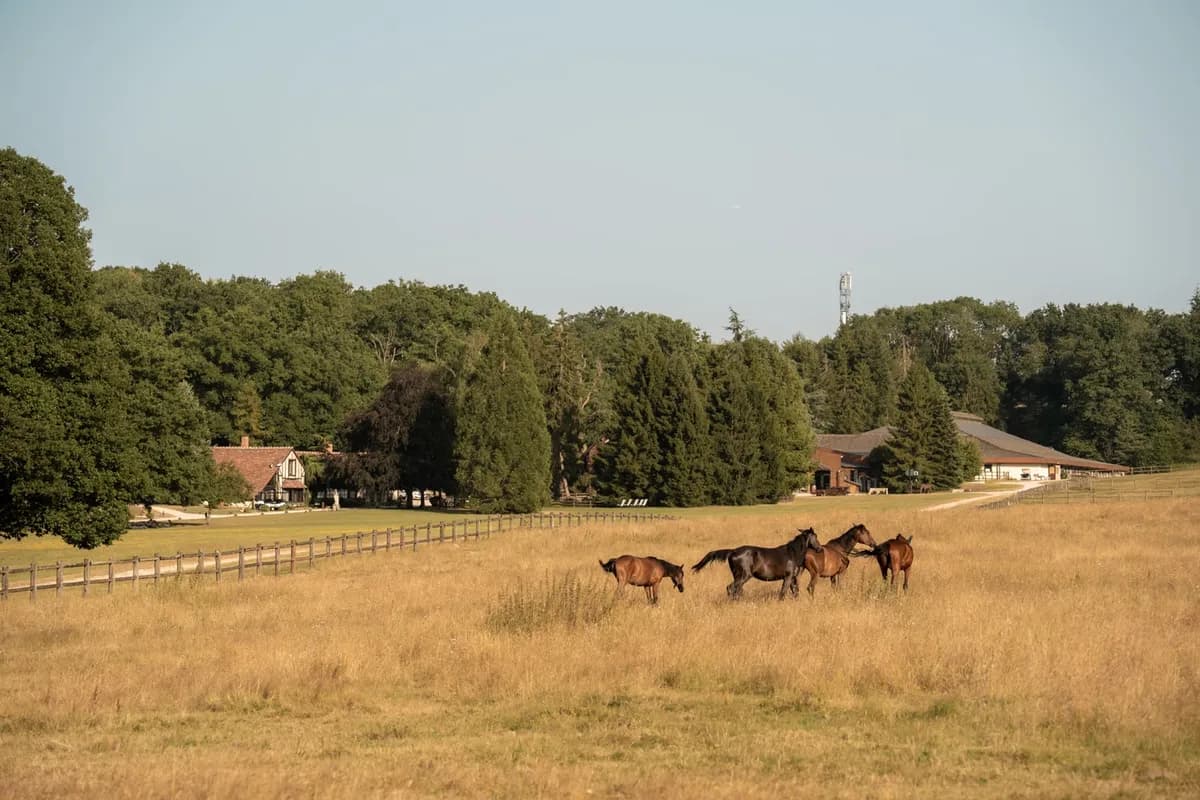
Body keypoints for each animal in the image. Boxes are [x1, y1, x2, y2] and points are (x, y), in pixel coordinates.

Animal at [691, 528, 823, 600]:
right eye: (815, 536)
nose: (820, 549)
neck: (793, 554)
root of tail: (733, 551)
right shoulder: (788, 576)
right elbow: (783, 592)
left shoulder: (793, 578)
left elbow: (795, 592)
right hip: (744, 575)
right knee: (731, 588)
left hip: (737, 576)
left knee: (736, 590)